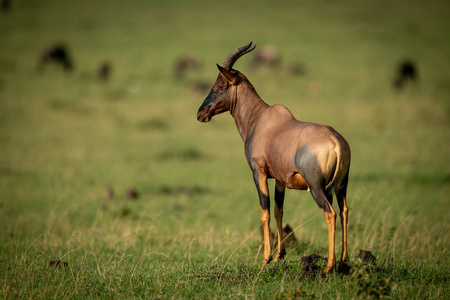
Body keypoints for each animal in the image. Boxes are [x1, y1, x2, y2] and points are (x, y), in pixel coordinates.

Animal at [198, 42, 352, 274]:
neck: (260, 119)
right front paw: (280, 255)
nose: (201, 113)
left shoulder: (259, 173)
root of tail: (336, 142)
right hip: (341, 185)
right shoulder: (280, 179)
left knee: (330, 213)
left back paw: (329, 265)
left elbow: (265, 211)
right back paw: (344, 260)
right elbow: (279, 211)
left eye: (221, 83)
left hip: (317, 187)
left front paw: (266, 258)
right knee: (344, 211)